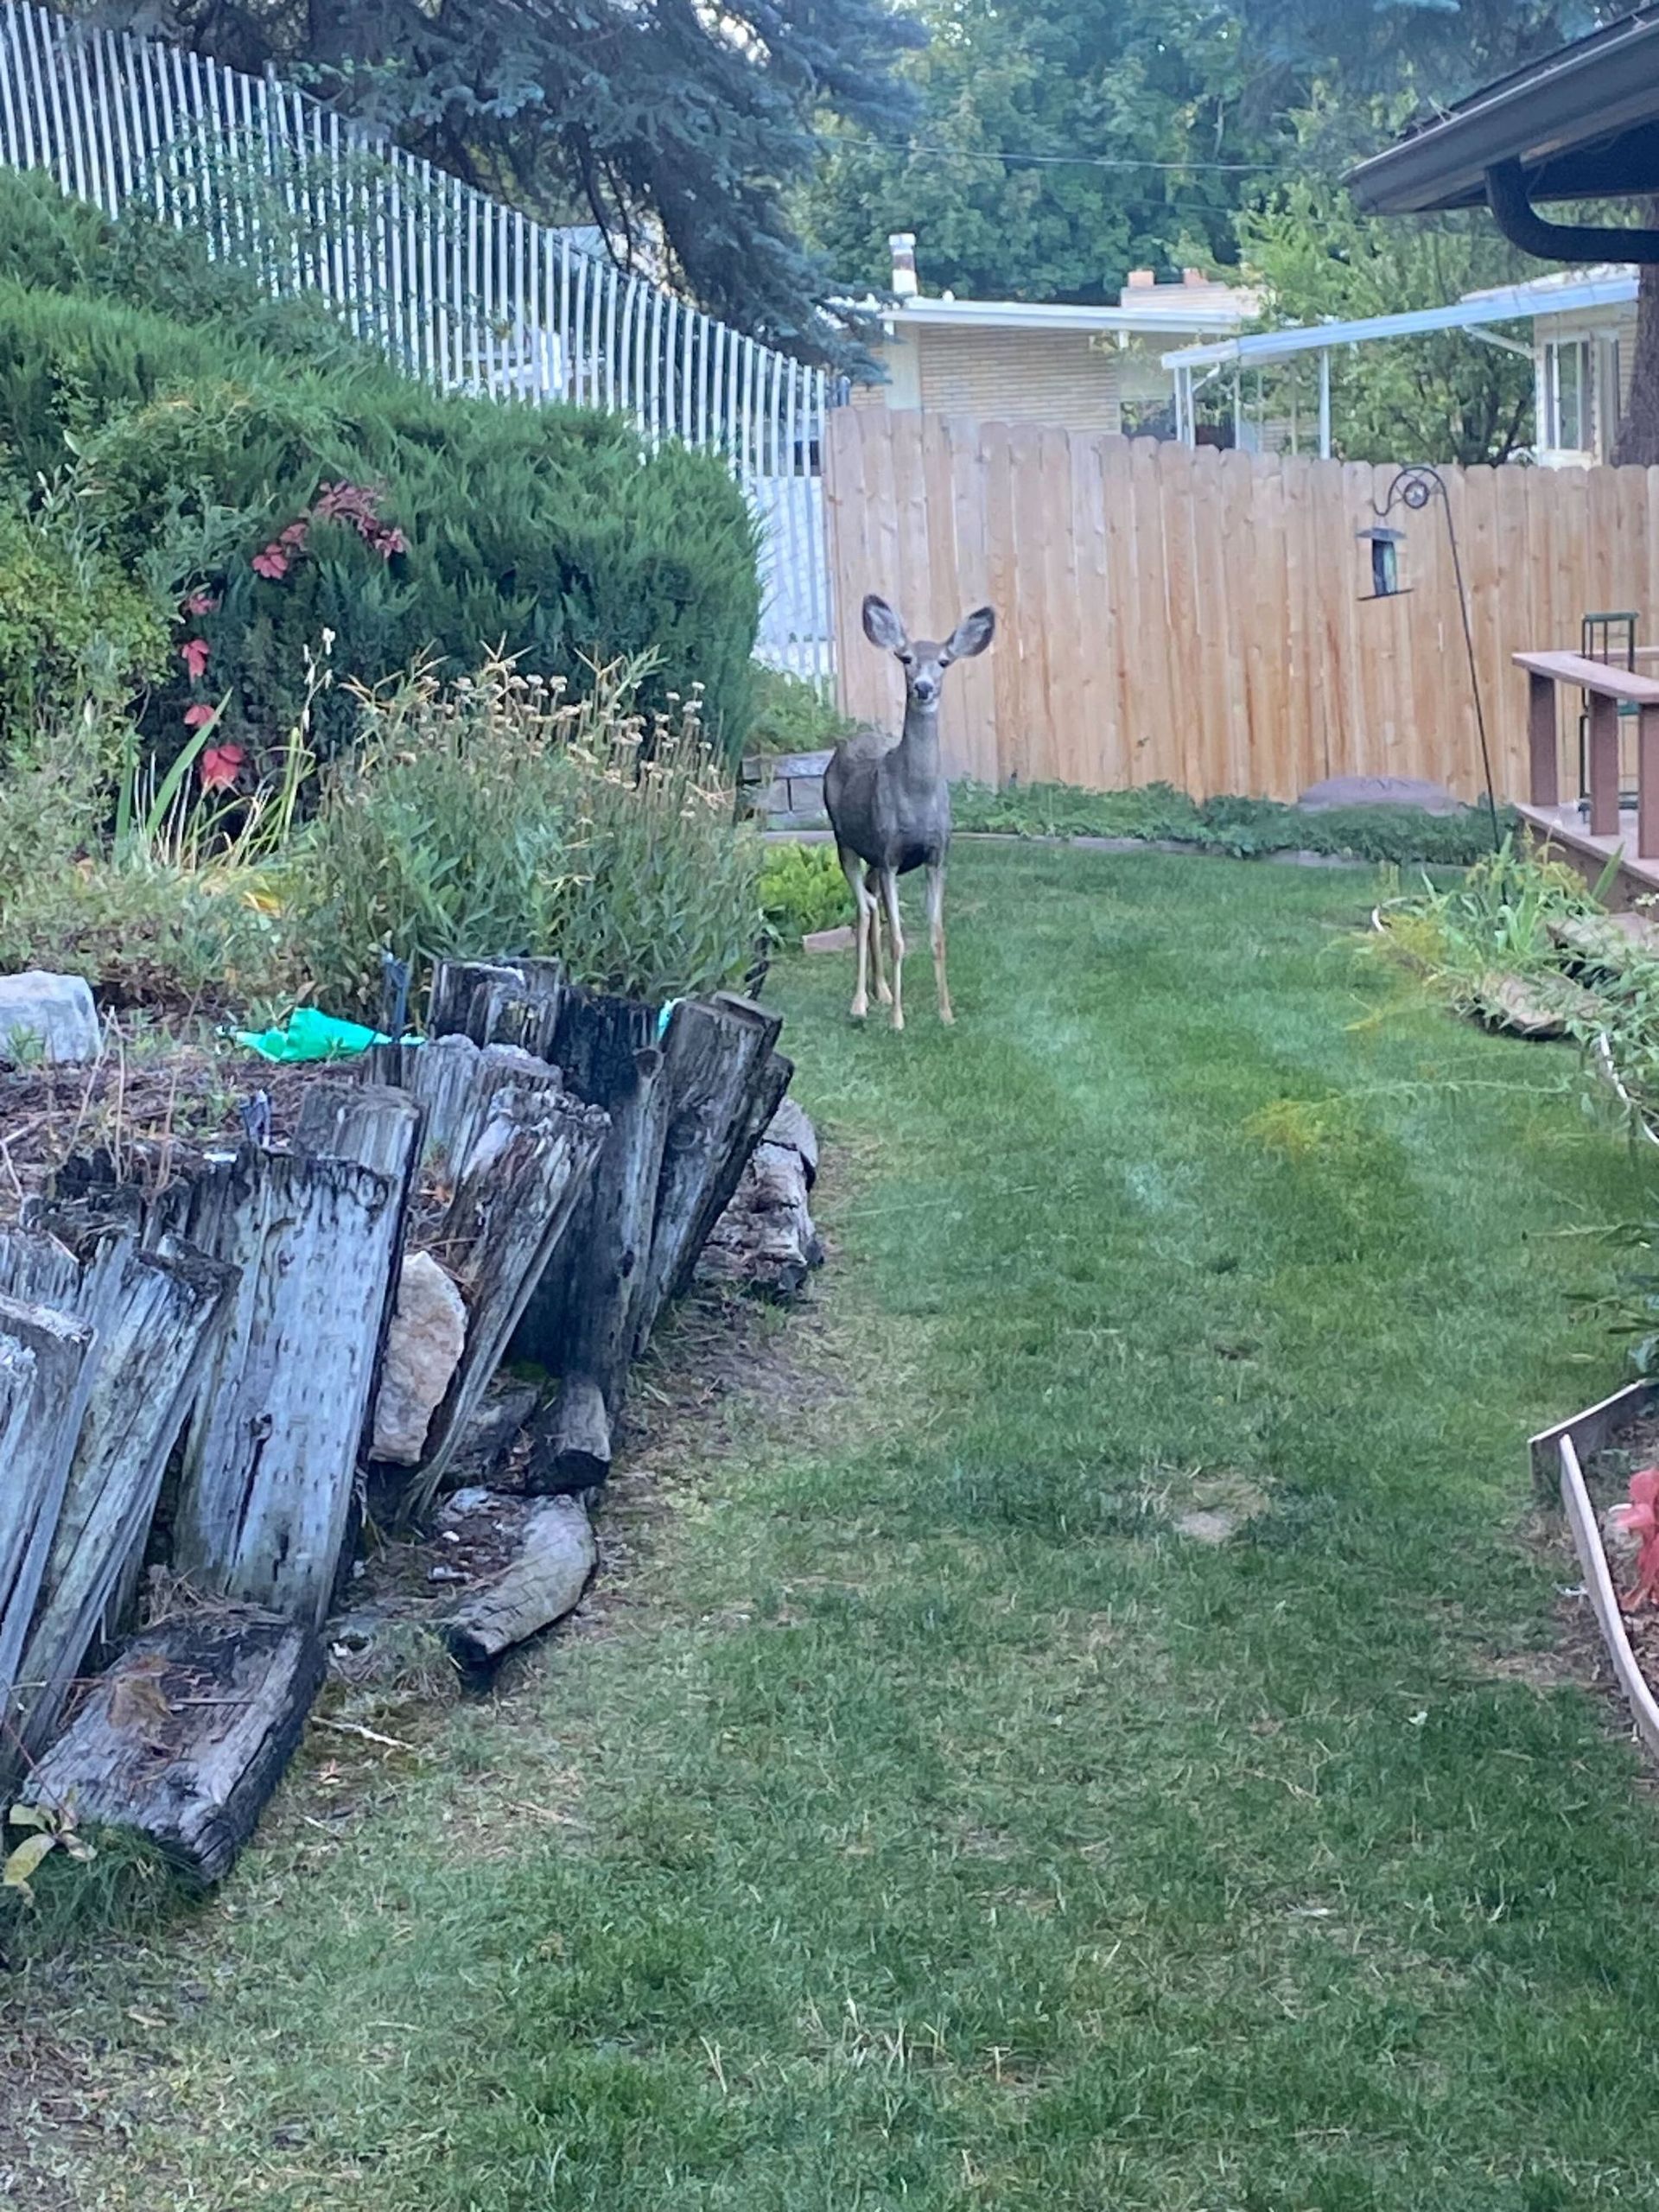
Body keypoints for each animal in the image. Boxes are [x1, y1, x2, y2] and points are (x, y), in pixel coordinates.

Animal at [824, 595, 995, 1031]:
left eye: (945, 661)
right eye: (905, 658)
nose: (923, 687)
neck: (917, 796)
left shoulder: (937, 856)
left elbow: (937, 936)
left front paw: (946, 1013)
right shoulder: (890, 855)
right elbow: (900, 939)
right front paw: (898, 1020)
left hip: (872, 857)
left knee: (870, 906)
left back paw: (881, 991)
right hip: (844, 840)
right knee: (864, 910)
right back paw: (861, 1002)